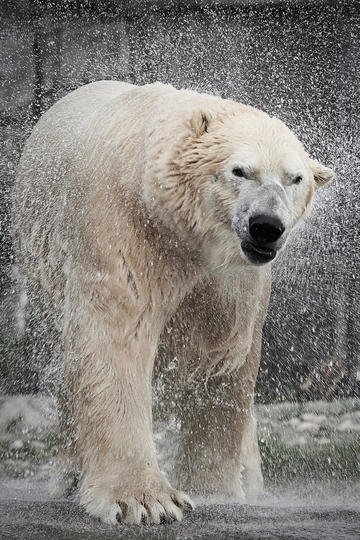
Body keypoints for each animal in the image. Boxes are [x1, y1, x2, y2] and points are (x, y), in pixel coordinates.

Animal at [13, 82, 334, 524]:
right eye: (239, 171)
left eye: (295, 178)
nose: (266, 226)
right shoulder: (125, 226)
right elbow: (117, 337)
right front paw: (144, 501)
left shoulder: (231, 276)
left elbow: (222, 356)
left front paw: (216, 489)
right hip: (42, 263)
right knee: (64, 364)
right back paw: (71, 475)